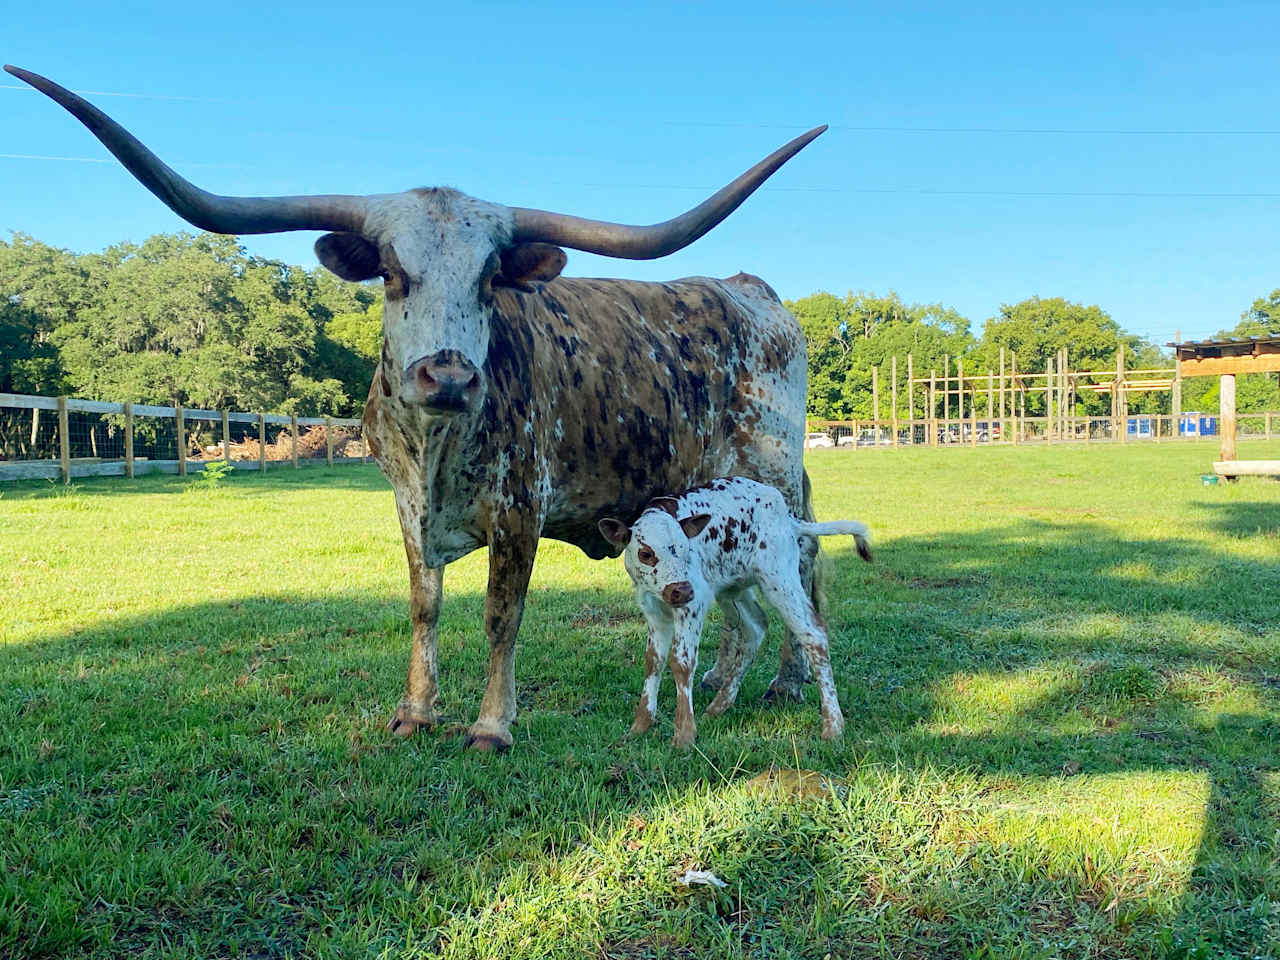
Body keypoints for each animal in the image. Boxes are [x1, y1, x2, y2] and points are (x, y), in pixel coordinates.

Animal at [7, 65, 829, 752]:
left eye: (491, 276)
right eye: (393, 273)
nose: (448, 377)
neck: (436, 447)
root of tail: (749, 289)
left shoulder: (521, 505)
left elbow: (501, 614)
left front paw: (492, 726)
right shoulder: (404, 503)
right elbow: (423, 604)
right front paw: (416, 712)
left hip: (773, 478)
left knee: (803, 566)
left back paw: (787, 682)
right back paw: (722, 686)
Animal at [599, 478, 870, 747]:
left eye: (687, 549)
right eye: (646, 553)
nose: (682, 590)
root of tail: (787, 516)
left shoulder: (692, 607)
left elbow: (682, 662)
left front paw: (684, 734)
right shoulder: (653, 611)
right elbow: (653, 661)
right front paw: (640, 725)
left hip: (779, 580)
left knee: (813, 633)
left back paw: (833, 725)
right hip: (732, 589)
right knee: (756, 627)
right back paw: (719, 704)